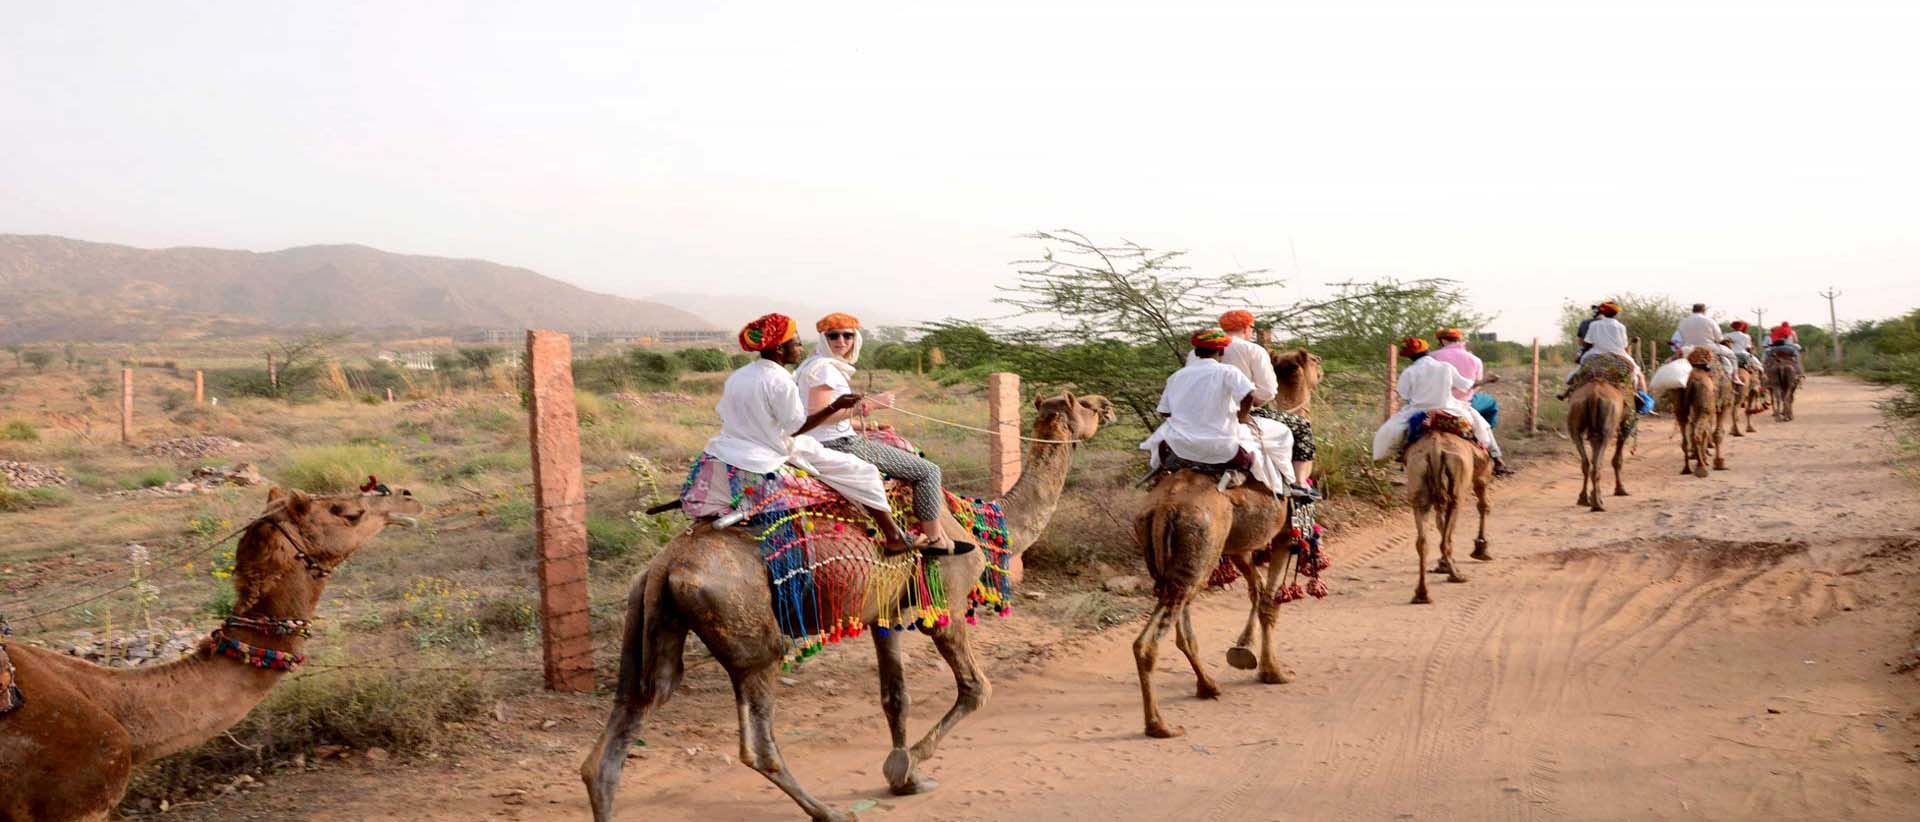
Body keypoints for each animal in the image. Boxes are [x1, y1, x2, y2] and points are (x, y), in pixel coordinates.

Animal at [583, 393, 1121, 822]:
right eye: (1085, 403)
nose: (1109, 404)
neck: (979, 527)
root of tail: (666, 567)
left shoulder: (884, 616)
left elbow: (895, 697)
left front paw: (905, 775)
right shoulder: (944, 609)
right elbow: (976, 690)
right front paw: (909, 766)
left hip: (651, 616)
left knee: (623, 727)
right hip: (751, 640)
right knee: (756, 743)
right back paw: (829, 812)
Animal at [1405, 416, 1489, 603]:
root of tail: (1435, 450)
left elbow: (1439, 521)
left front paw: (1443, 565)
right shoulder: (1482, 472)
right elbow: (1483, 505)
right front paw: (1481, 549)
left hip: (1417, 480)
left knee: (1423, 542)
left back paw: (1421, 593)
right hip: (1458, 486)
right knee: (1447, 536)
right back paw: (1457, 576)